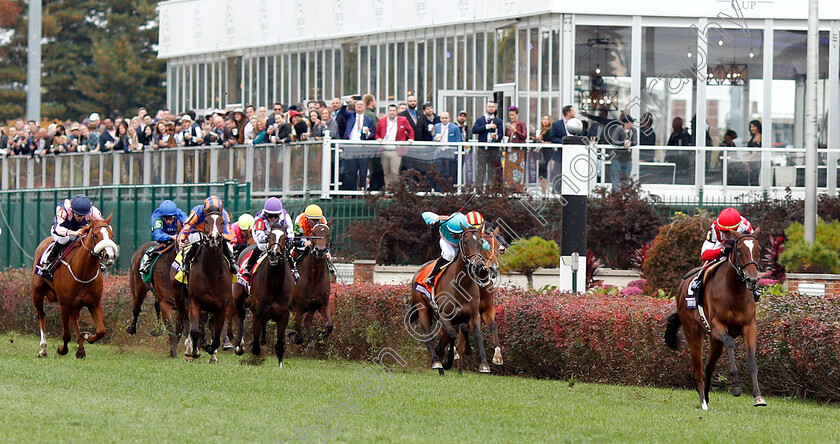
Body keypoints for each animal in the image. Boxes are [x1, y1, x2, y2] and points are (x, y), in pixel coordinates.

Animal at [31, 217, 118, 360]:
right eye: (95, 235)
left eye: (112, 235)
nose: (109, 256)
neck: (83, 271)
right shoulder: (64, 305)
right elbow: (66, 335)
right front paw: (62, 350)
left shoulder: (94, 303)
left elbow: (101, 331)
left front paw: (86, 335)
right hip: (37, 292)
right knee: (41, 315)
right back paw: (43, 349)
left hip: (77, 303)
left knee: (74, 319)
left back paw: (81, 349)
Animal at [171, 208, 231, 364]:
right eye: (207, 222)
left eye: (222, 222)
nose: (214, 238)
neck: (212, 273)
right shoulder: (195, 302)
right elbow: (195, 331)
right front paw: (195, 351)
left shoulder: (222, 306)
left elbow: (216, 337)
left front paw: (211, 350)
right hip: (179, 298)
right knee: (185, 321)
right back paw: (189, 350)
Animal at [230, 224, 296, 366]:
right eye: (269, 236)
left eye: (285, 238)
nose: (274, 254)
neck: (275, 284)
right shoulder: (257, 313)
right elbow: (255, 348)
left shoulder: (284, 315)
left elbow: (279, 346)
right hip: (238, 298)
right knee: (241, 314)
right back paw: (240, 346)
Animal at [408, 225, 492, 374]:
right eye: (465, 242)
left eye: (481, 242)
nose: (477, 265)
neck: (462, 284)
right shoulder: (444, 316)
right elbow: (452, 335)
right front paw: (448, 361)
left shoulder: (473, 314)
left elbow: (477, 334)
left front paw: (483, 363)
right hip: (423, 309)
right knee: (429, 337)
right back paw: (436, 361)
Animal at [664, 231, 768, 412]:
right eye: (739, 250)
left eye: (759, 250)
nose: (752, 279)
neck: (735, 292)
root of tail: (682, 285)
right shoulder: (717, 327)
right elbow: (730, 343)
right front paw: (735, 387)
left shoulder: (749, 327)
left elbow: (752, 360)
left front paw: (758, 396)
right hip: (693, 332)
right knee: (698, 368)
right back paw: (703, 402)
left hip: (714, 341)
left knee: (708, 366)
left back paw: (706, 396)